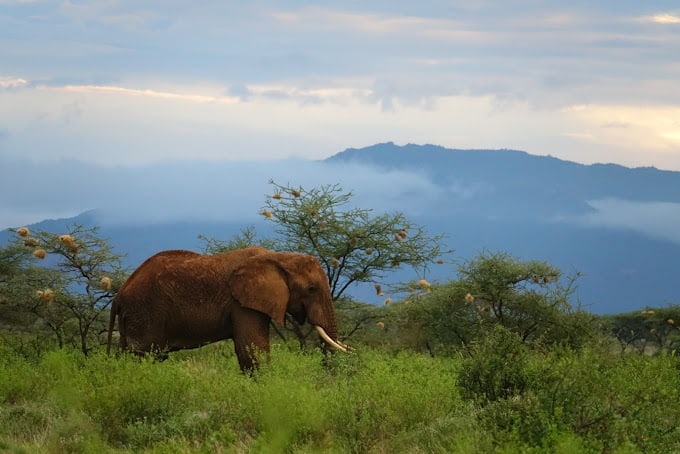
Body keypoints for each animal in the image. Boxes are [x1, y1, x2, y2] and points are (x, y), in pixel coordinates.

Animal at [106, 246, 348, 371]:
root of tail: (120, 294)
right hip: (146, 313)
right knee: (145, 356)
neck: (279, 257)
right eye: (311, 289)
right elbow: (253, 351)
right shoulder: (242, 304)